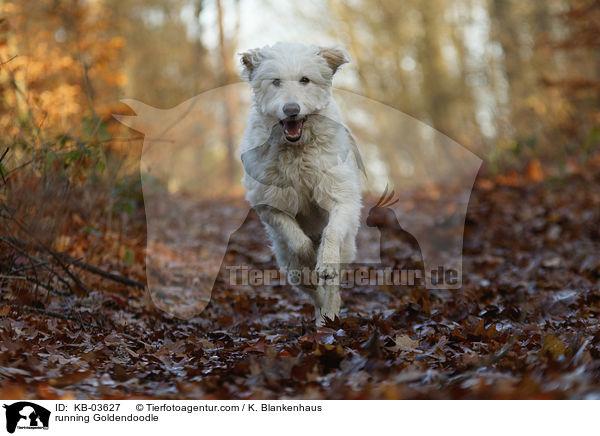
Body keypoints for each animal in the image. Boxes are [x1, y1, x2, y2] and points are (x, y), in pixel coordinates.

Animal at [238, 42, 360, 326]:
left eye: (305, 80)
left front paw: (324, 261)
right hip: (286, 262)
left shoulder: (340, 197)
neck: (296, 149)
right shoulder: (269, 204)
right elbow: (297, 239)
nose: (291, 109)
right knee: (311, 290)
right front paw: (309, 257)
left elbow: (332, 232)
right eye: (276, 81)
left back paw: (330, 315)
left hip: (347, 247)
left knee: (331, 289)